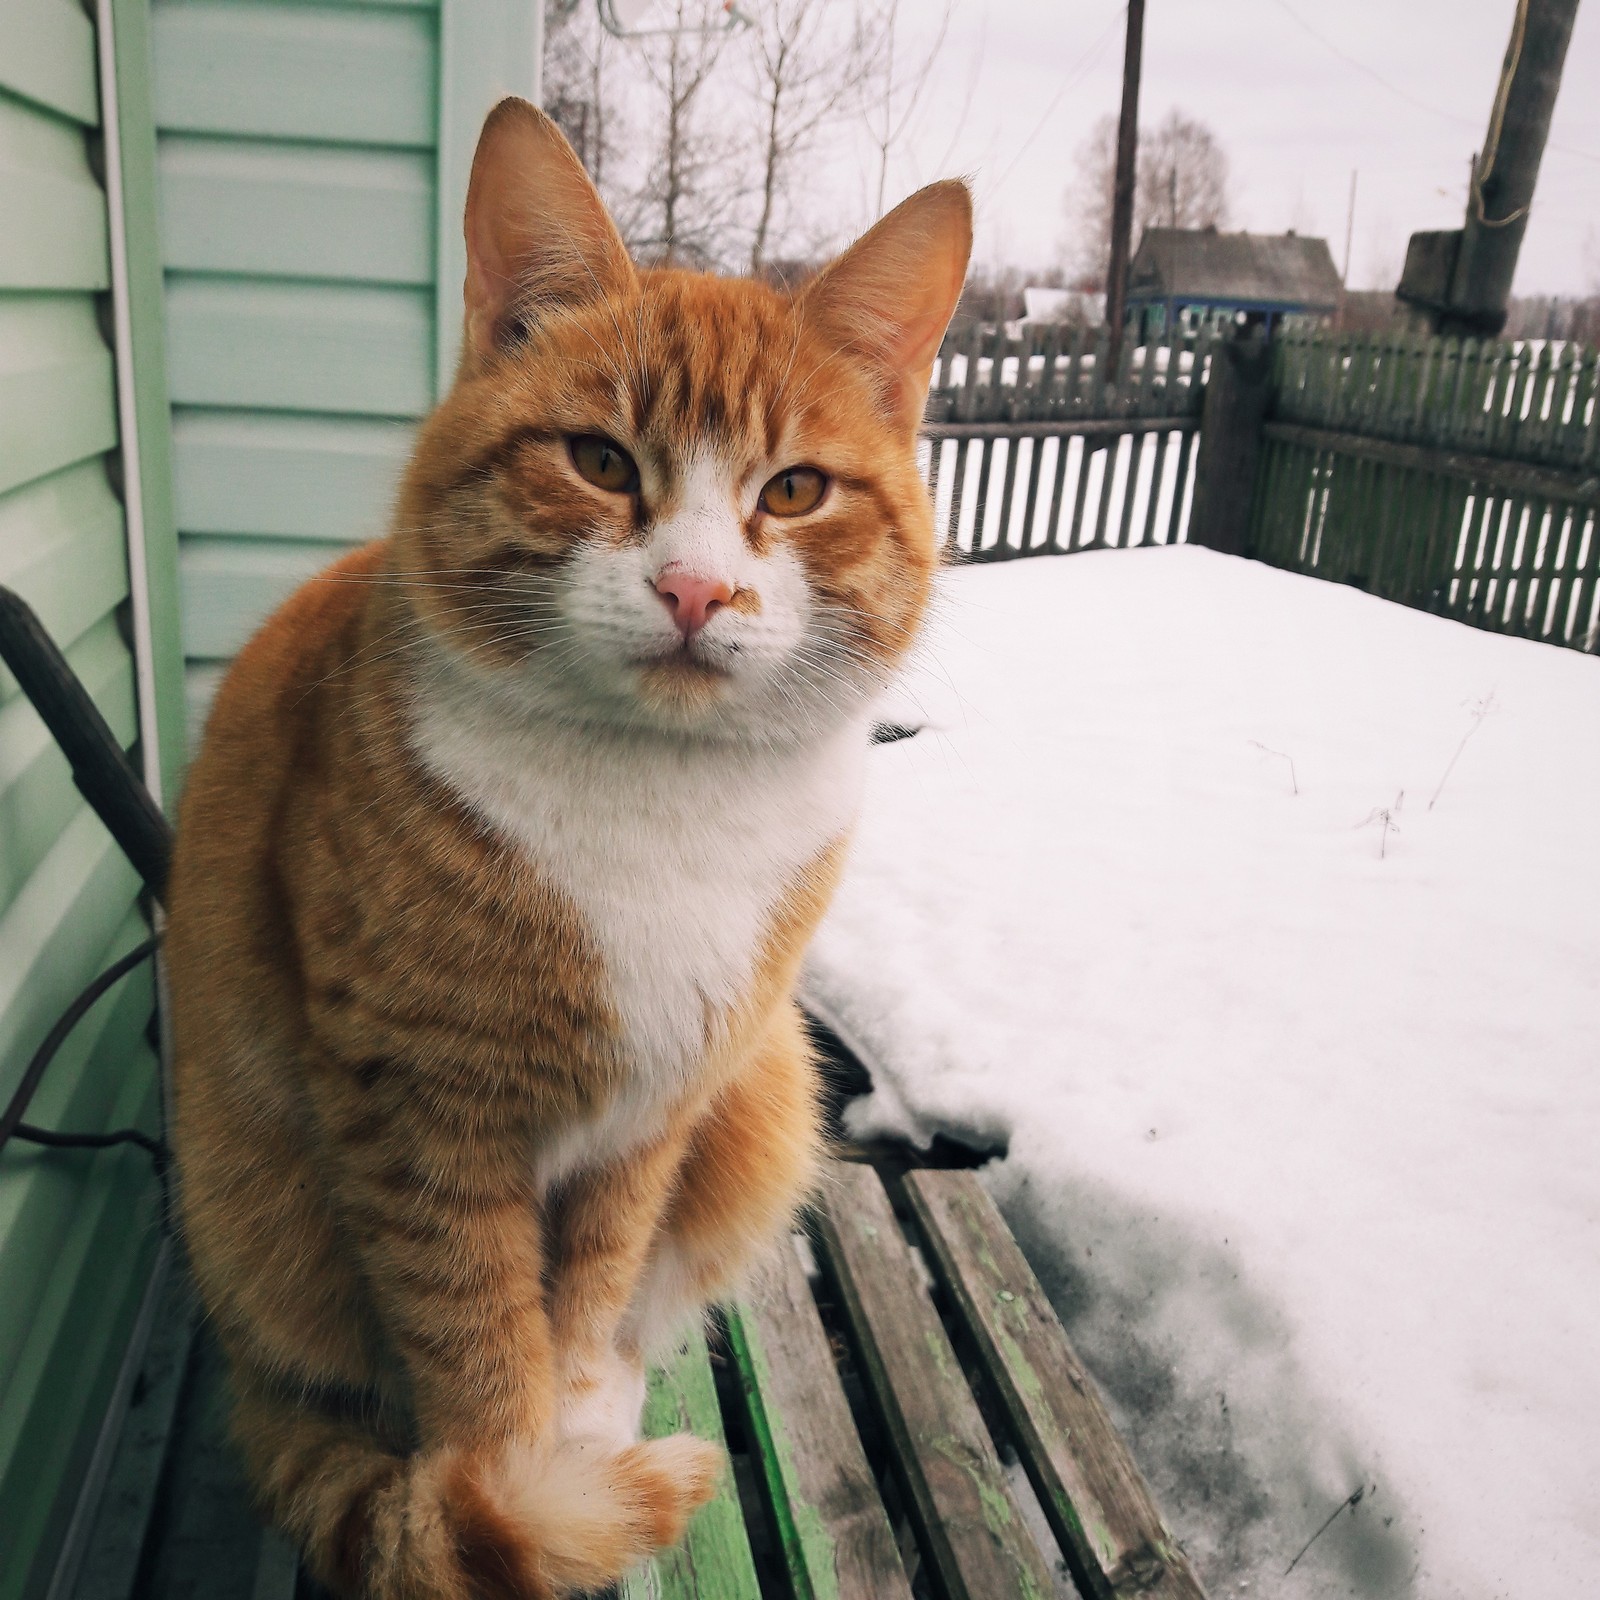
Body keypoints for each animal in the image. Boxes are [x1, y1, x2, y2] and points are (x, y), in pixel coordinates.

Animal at [162, 103, 966, 1600]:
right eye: (600, 462)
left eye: (795, 490)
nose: (697, 588)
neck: (657, 801)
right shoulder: (417, 1108)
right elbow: (472, 1320)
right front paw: (517, 1478)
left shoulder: (661, 1101)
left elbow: (592, 1278)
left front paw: (583, 1428)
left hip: (766, 1094)